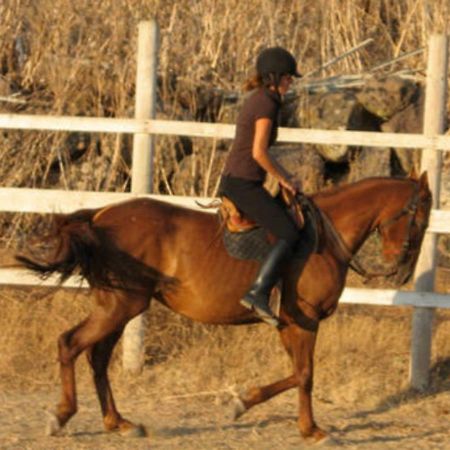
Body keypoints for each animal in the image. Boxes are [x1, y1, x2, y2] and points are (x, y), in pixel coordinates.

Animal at [16, 172, 432, 442]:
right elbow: (305, 374)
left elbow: (298, 373)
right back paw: (62, 416)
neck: (321, 240)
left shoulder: (287, 323)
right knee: (71, 344)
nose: (400, 271)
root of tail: (100, 216)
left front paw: (251, 405)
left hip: (119, 306)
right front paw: (306, 427)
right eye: (421, 216)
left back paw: (119, 422)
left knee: (96, 358)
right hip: (121, 305)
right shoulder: (303, 321)